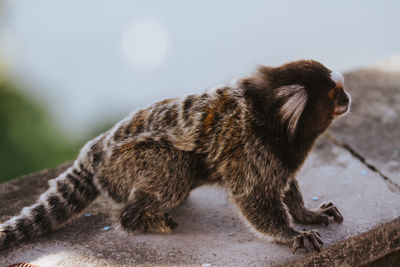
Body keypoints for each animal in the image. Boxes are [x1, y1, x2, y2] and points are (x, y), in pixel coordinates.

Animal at [0, 59, 350, 253]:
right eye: (334, 94)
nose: (348, 99)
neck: (271, 120)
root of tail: (94, 151)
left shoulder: (279, 159)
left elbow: (285, 183)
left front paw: (306, 214)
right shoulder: (250, 150)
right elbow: (252, 197)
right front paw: (292, 235)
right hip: (124, 164)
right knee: (175, 167)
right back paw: (141, 219)